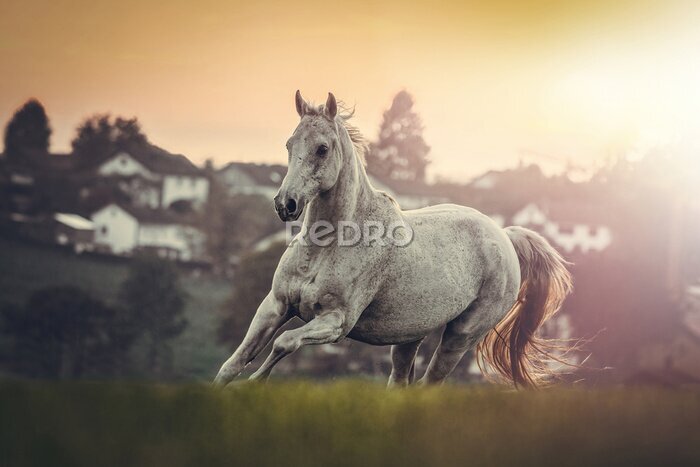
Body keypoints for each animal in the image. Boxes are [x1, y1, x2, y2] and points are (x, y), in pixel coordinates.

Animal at [214, 91, 573, 388]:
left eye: (322, 148)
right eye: (290, 144)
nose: (285, 204)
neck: (327, 247)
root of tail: (505, 236)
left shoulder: (336, 322)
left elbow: (284, 342)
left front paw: (253, 385)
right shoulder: (275, 305)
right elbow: (233, 363)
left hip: (460, 336)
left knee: (429, 384)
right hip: (409, 338)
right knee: (401, 384)